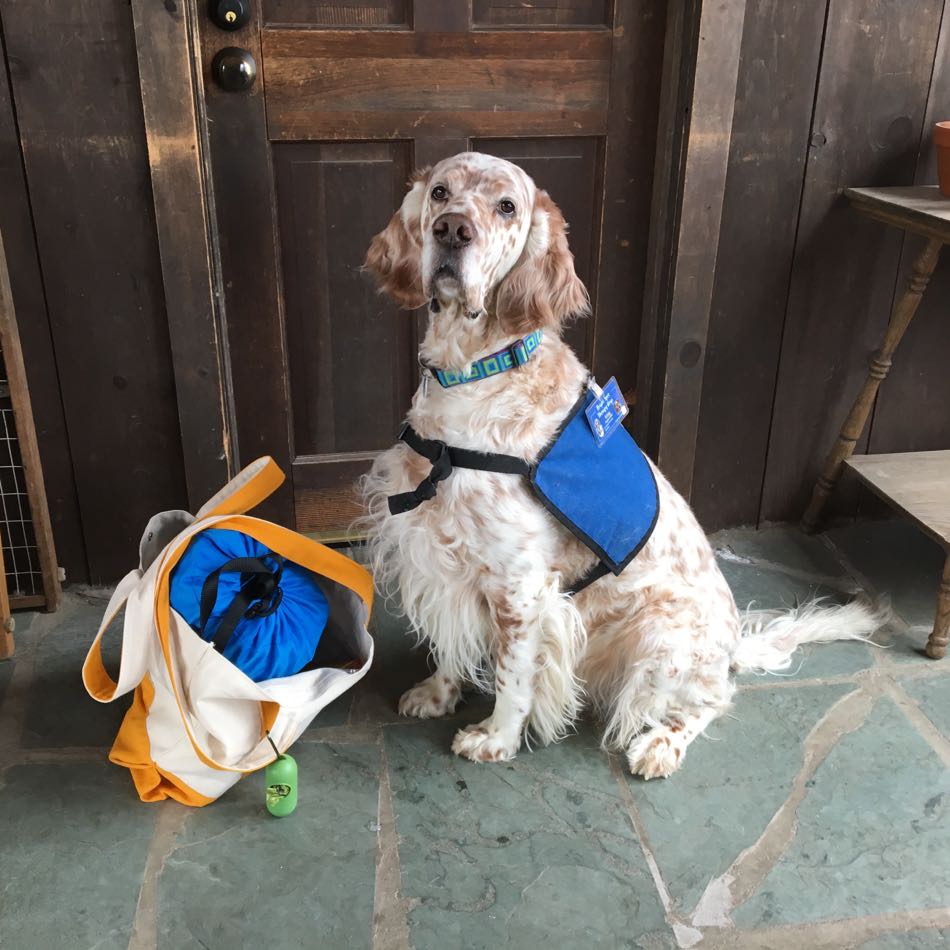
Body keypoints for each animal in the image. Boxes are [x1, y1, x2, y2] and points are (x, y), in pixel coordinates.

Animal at [358, 152, 884, 776]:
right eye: (440, 193)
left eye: (507, 206)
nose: (451, 231)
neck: (474, 373)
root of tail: (733, 646)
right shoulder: (441, 556)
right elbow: (449, 641)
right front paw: (439, 694)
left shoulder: (520, 585)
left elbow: (514, 676)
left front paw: (496, 738)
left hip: (659, 632)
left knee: (710, 700)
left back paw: (660, 746)